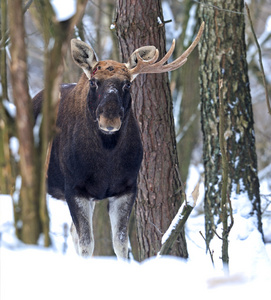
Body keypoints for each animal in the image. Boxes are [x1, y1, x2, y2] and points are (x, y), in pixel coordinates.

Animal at [33, 22, 205, 258]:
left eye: (127, 85)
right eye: (94, 83)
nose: (109, 120)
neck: (107, 160)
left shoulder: (127, 188)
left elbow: (120, 243)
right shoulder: (74, 188)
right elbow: (87, 244)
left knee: (72, 233)